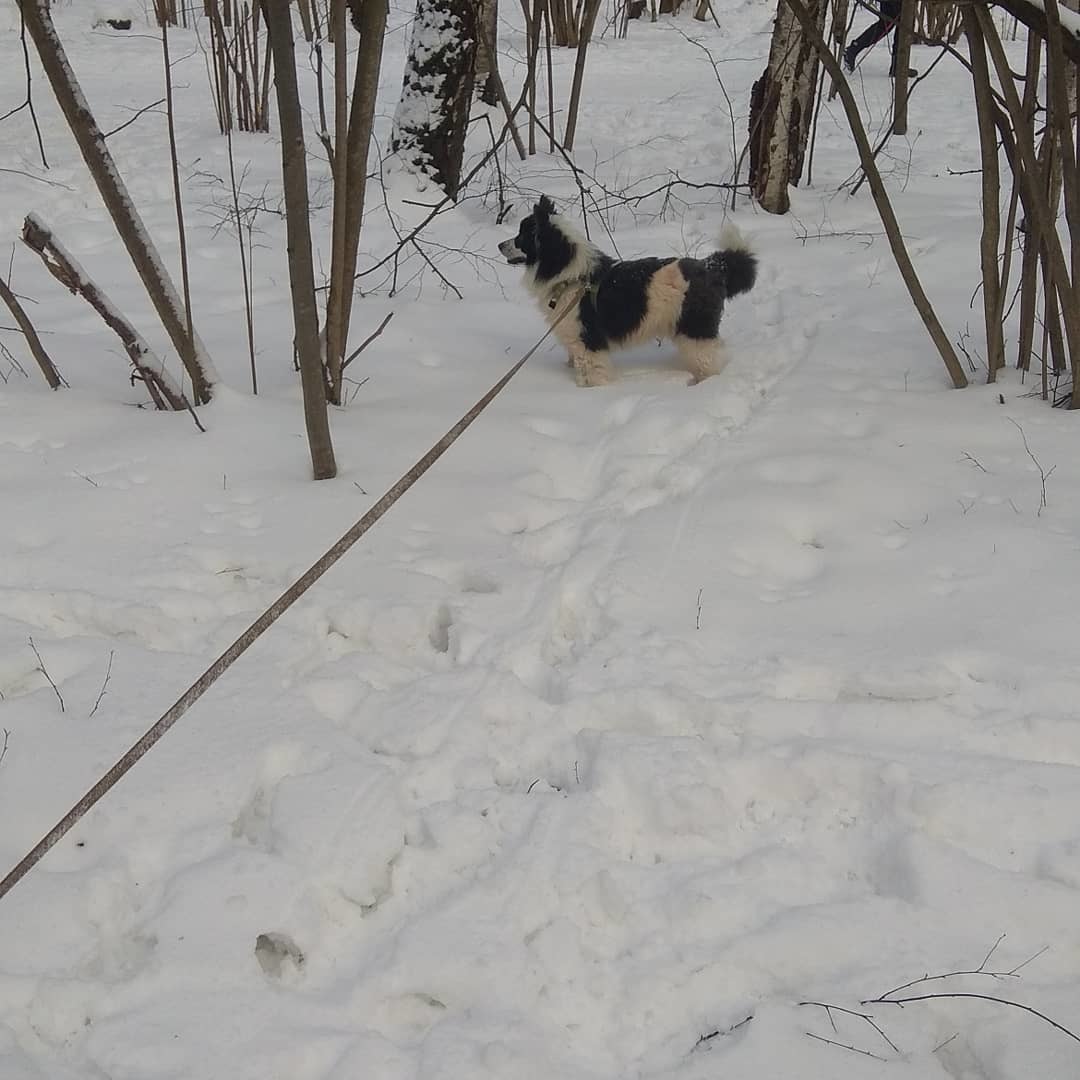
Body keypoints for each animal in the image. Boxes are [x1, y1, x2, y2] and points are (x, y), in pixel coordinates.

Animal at [498, 196, 760, 386]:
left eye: (522, 236)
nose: (499, 244)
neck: (571, 276)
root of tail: (712, 266)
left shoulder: (588, 342)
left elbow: (594, 373)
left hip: (695, 331)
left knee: (709, 363)